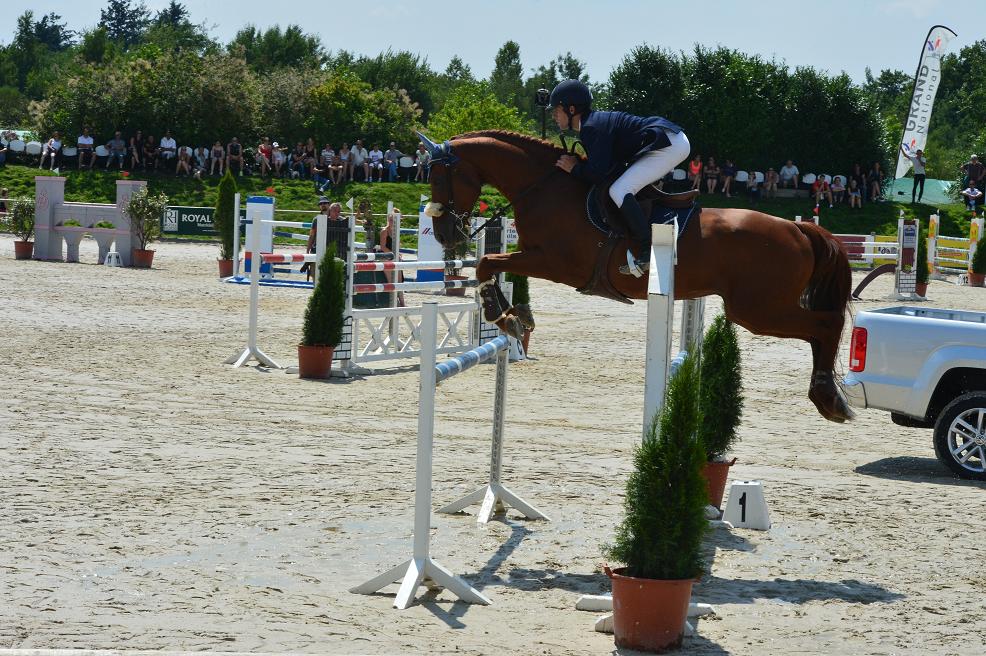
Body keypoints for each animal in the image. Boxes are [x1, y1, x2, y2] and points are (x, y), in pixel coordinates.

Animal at [418, 131, 848, 422]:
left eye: (437, 178)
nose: (445, 235)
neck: (544, 186)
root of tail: (800, 229)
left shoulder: (554, 262)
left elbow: (488, 263)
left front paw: (502, 315)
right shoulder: (539, 258)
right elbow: (492, 266)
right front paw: (517, 316)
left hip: (758, 310)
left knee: (826, 324)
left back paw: (828, 397)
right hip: (760, 309)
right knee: (820, 328)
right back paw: (831, 398)